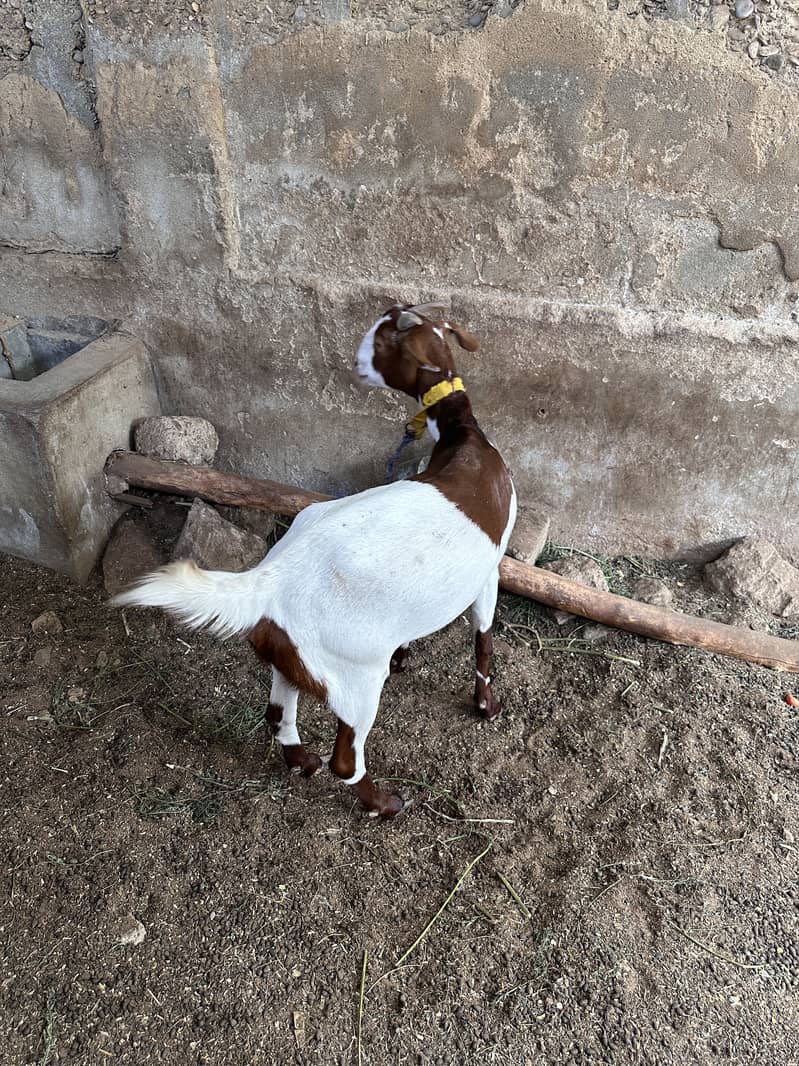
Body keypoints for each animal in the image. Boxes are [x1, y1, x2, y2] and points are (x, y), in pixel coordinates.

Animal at [113, 304, 517, 817]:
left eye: (380, 342)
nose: (355, 364)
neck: (462, 439)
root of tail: (270, 582)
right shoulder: (489, 573)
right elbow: (483, 643)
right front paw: (486, 705)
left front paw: (406, 654)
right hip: (356, 677)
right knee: (345, 760)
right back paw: (382, 803)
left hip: (292, 658)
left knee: (276, 714)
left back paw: (300, 762)